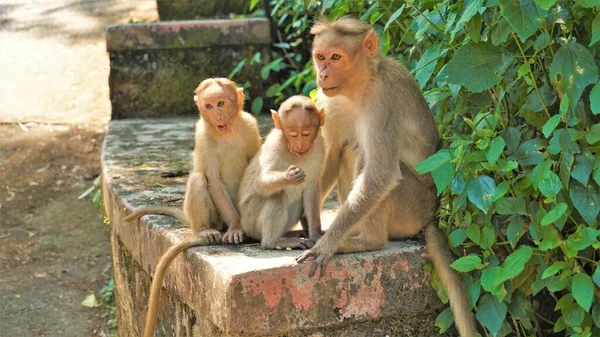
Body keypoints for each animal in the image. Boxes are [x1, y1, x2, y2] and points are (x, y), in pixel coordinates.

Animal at [123, 77, 260, 336]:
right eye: (208, 106)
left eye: (220, 103)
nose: (217, 116)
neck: (227, 132)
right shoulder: (203, 135)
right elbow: (212, 180)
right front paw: (237, 227)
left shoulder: (250, 126)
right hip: (215, 217)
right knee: (198, 179)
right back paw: (206, 231)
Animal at [238, 96, 326, 248]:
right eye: (293, 135)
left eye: (306, 134)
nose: (300, 145)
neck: (297, 155)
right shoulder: (275, 143)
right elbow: (260, 182)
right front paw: (288, 176)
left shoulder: (320, 146)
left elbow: (311, 191)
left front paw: (315, 235)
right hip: (250, 219)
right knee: (277, 195)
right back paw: (274, 242)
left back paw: (288, 234)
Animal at [296, 18, 478, 336]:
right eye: (320, 56)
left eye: (336, 57)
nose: (323, 74)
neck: (360, 86)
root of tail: (430, 216)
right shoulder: (330, 103)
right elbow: (329, 160)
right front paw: (313, 227)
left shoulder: (382, 103)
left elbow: (380, 174)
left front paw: (326, 244)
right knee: (348, 149)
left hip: (411, 207)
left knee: (369, 162)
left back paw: (367, 241)